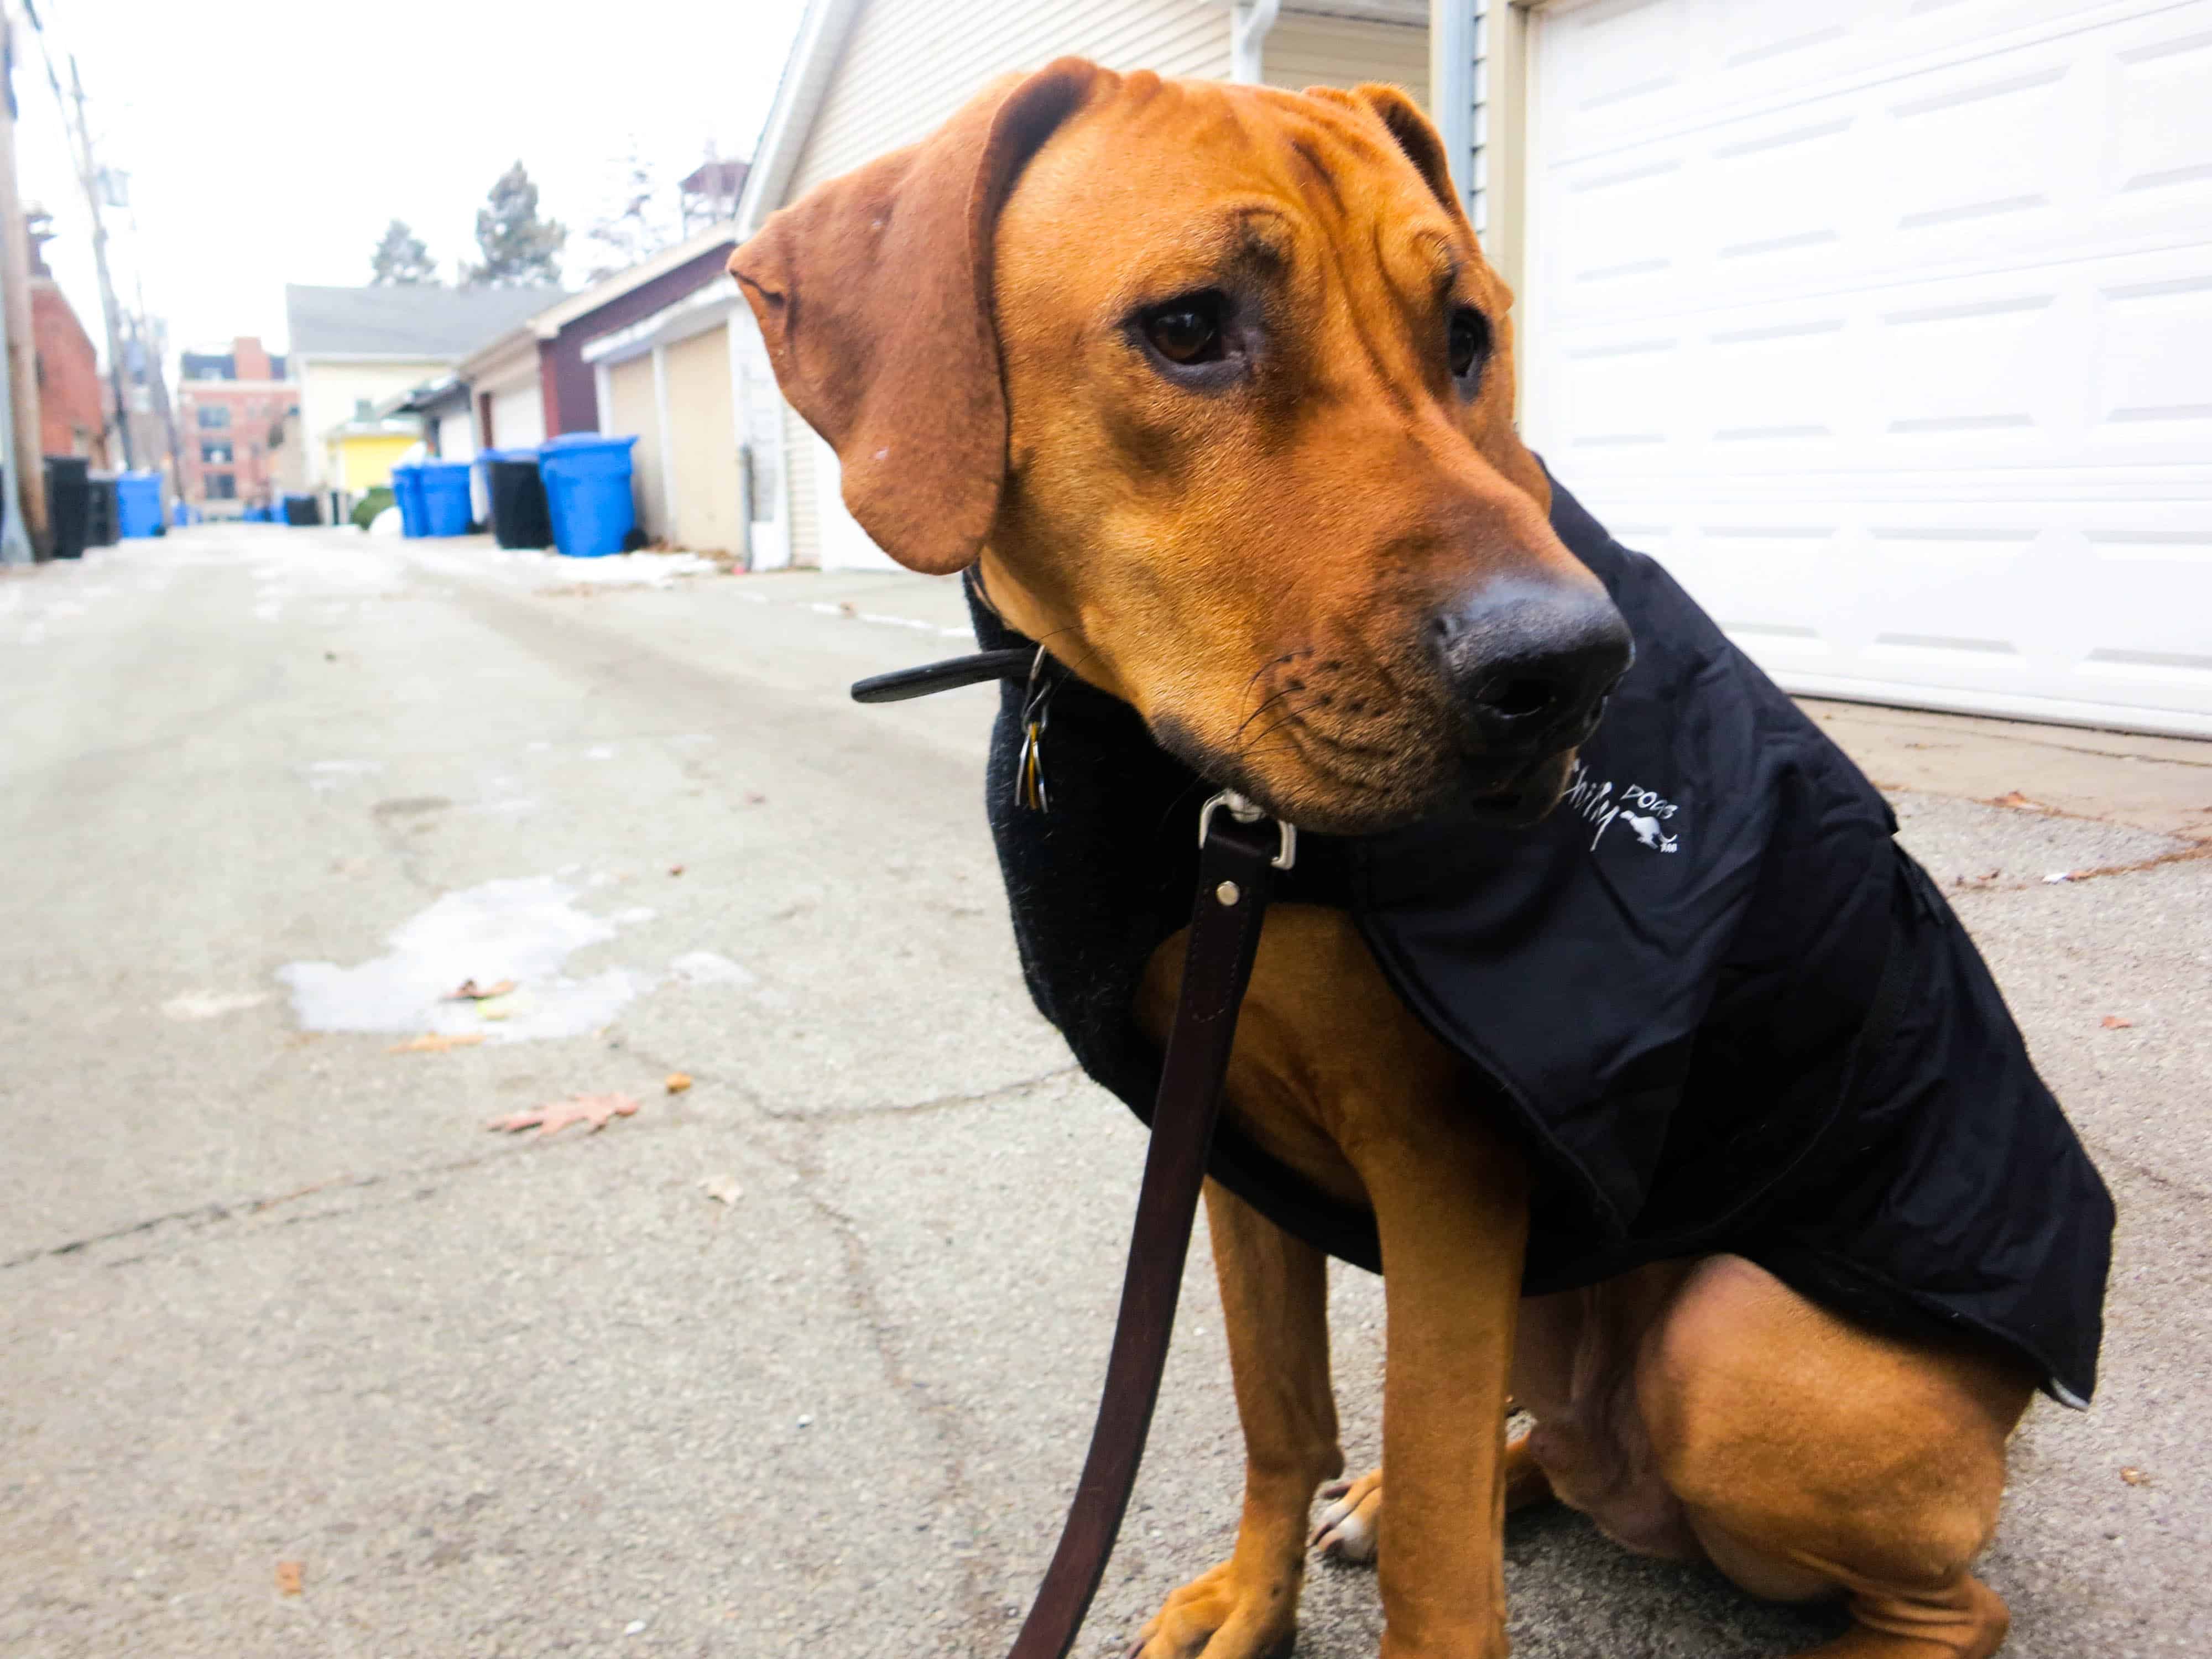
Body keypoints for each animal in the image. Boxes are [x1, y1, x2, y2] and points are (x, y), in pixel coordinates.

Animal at [739, 61, 2035, 1659]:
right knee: (1538, 1452)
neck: (1218, 818)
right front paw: (1255, 1594)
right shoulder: (1219, 1128)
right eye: (1188, 327)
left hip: (1741, 1355)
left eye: (1468, 334)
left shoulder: (1447, 1173)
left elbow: (1438, 1551)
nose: (1571, 669)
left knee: (1952, 1599)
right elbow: (1282, 1412)